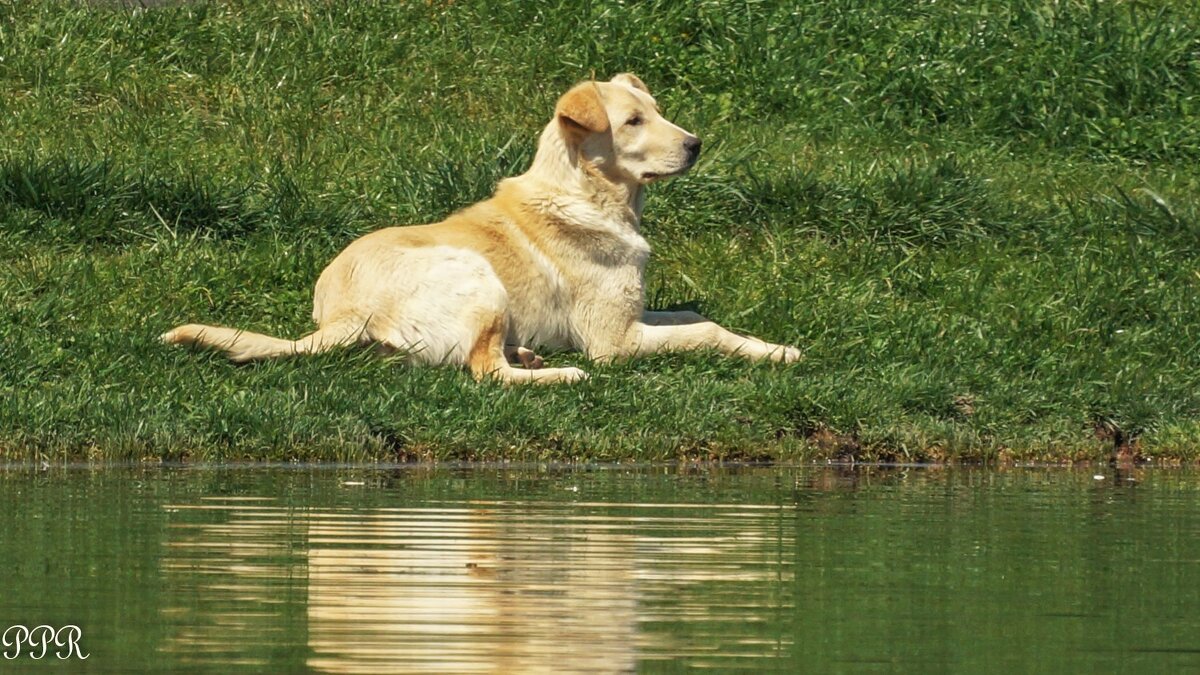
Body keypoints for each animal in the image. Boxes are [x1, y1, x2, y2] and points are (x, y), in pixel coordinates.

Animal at [159, 73, 796, 381]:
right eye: (634, 121)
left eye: (658, 111)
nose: (696, 145)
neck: (587, 195)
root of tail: (345, 310)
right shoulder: (614, 341)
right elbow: (706, 331)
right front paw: (776, 352)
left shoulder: (638, 315)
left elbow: (696, 316)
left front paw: (773, 346)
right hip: (476, 274)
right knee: (486, 373)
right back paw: (559, 375)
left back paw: (531, 357)